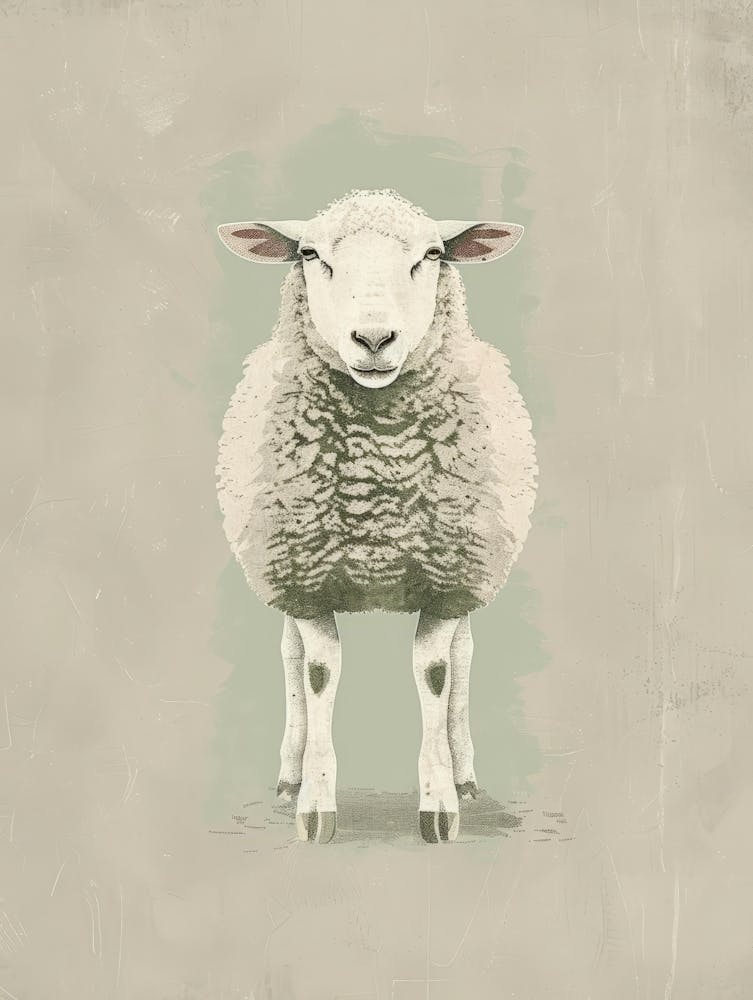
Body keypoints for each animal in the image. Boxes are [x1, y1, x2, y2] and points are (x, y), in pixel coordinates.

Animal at [215, 188, 537, 844]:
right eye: (310, 254)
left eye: (433, 254)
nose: (373, 338)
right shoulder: (307, 578)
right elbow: (317, 673)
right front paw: (314, 807)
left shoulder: (448, 580)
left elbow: (437, 673)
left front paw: (441, 806)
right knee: (289, 657)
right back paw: (287, 775)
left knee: (465, 658)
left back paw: (467, 775)